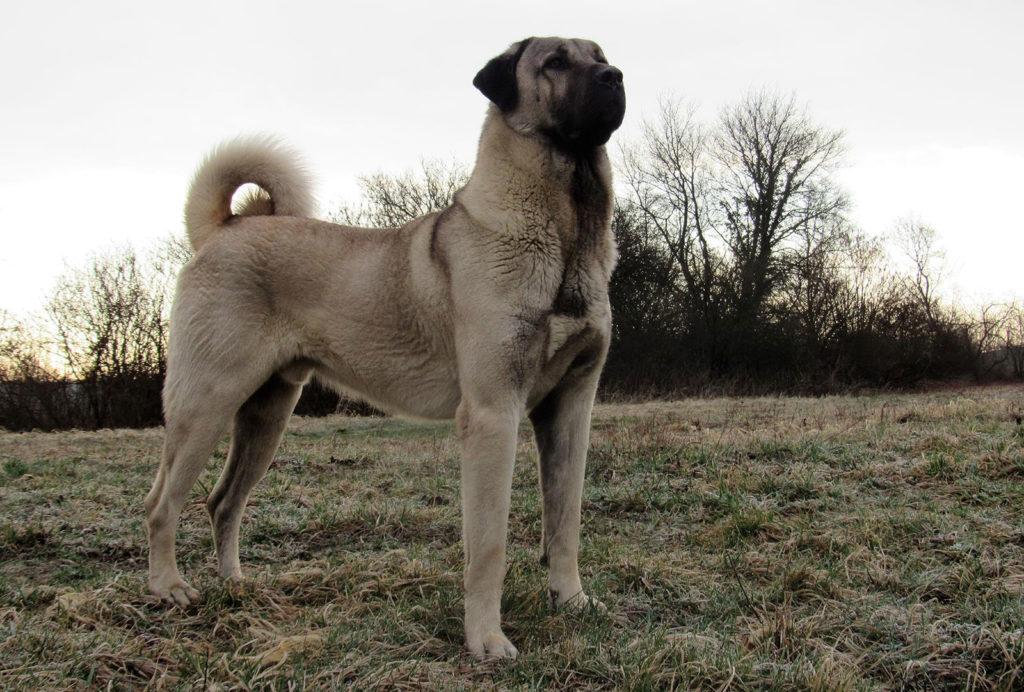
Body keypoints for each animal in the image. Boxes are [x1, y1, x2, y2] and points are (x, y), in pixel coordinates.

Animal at [144, 33, 622, 659]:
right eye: (556, 63)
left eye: (600, 55)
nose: (615, 77)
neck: (567, 228)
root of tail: (223, 229)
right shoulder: (493, 414)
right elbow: (488, 546)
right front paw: (486, 640)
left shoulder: (570, 409)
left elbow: (565, 524)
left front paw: (572, 603)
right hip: (206, 404)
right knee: (162, 505)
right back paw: (168, 588)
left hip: (267, 415)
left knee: (222, 502)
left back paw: (236, 586)